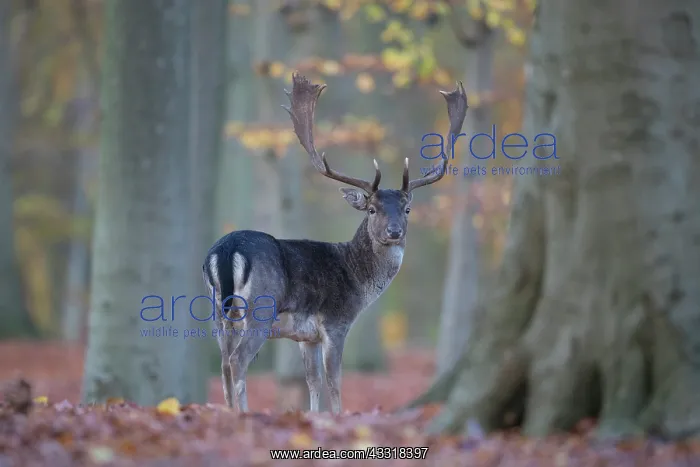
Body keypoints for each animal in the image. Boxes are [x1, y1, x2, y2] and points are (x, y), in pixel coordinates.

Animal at [203, 72, 467, 414]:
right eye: (372, 209)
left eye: (407, 208)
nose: (394, 231)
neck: (357, 278)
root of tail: (225, 250)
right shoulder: (336, 322)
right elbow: (334, 383)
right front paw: (339, 416)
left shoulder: (306, 336)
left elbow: (313, 383)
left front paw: (313, 417)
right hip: (260, 308)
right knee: (237, 360)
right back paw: (243, 413)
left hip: (216, 312)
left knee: (223, 362)